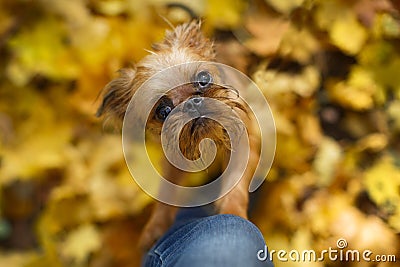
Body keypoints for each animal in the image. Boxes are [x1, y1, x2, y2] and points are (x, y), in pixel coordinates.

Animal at [96, 20, 260, 251]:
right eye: (163, 111)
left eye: (203, 79)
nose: (191, 103)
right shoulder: (173, 159)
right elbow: (166, 191)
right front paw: (156, 226)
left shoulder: (243, 145)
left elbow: (235, 185)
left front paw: (233, 213)